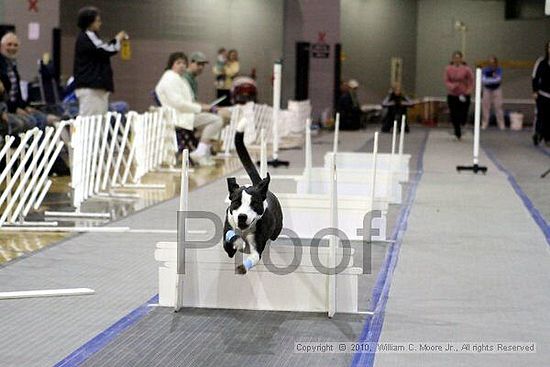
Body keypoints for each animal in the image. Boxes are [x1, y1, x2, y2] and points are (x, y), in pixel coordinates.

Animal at [224, 119, 284, 274]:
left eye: (254, 204)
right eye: (236, 202)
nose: (242, 216)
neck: (244, 230)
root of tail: (258, 185)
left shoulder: (257, 245)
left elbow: (254, 256)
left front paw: (242, 268)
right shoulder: (228, 232)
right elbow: (230, 240)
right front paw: (238, 242)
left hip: (277, 229)